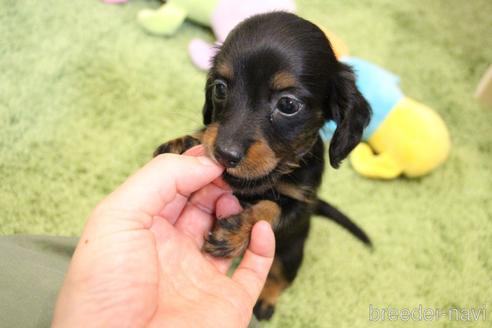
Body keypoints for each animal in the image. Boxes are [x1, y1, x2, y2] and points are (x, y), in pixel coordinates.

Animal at [156, 11, 370, 320]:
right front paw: (181, 143)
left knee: (282, 276)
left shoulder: (299, 205)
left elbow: (272, 209)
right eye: (220, 87)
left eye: (288, 105)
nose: (224, 154)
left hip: (292, 252)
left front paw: (235, 231)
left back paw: (266, 300)